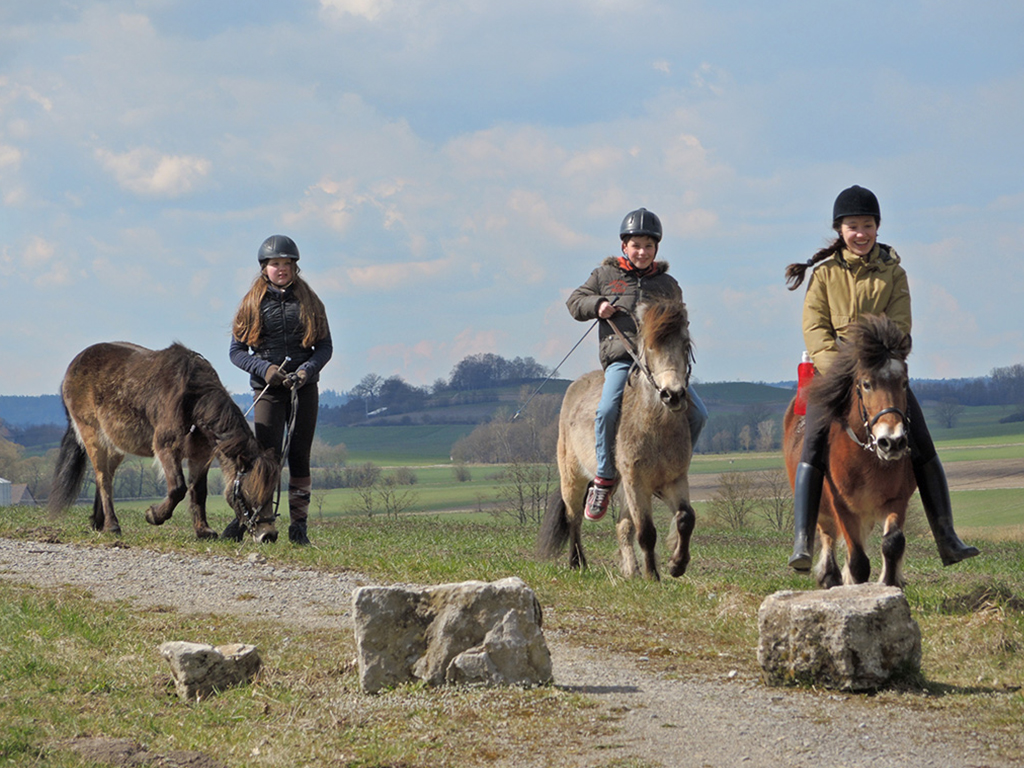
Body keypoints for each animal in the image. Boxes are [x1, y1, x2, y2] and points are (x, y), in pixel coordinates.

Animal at [49, 342, 278, 540]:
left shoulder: (200, 455)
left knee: (105, 476)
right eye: (249, 494)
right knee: (103, 478)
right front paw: (154, 515)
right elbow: (178, 488)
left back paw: (99, 523)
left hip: (115, 445)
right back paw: (112, 526)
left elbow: (198, 491)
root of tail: (75, 365)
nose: (269, 535)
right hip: (92, 435)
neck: (192, 399)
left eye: (271, 496)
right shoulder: (166, 448)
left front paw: (203, 531)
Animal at [536, 296, 696, 581]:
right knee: (574, 518)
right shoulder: (635, 482)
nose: (673, 395)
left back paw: (630, 570)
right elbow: (646, 532)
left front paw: (677, 564)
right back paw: (577, 562)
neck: (655, 426)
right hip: (573, 477)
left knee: (622, 525)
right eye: (650, 347)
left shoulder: (674, 480)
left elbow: (685, 518)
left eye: (685, 345)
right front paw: (653, 576)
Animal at [778, 315, 917, 593]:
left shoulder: (897, 499)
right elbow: (858, 561)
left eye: (904, 382)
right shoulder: (842, 507)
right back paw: (829, 575)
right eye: (866, 383)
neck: (867, 456)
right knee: (827, 535)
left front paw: (889, 583)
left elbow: (893, 543)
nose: (892, 442)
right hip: (825, 511)